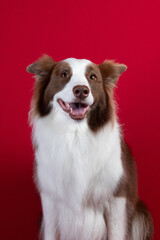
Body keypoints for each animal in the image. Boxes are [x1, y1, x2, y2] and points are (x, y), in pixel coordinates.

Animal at [26, 55, 153, 239]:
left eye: (92, 77)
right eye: (64, 74)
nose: (81, 90)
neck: (76, 136)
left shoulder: (117, 197)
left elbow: (116, 233)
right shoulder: (49, 198)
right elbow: (51, 232)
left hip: (141, 216)